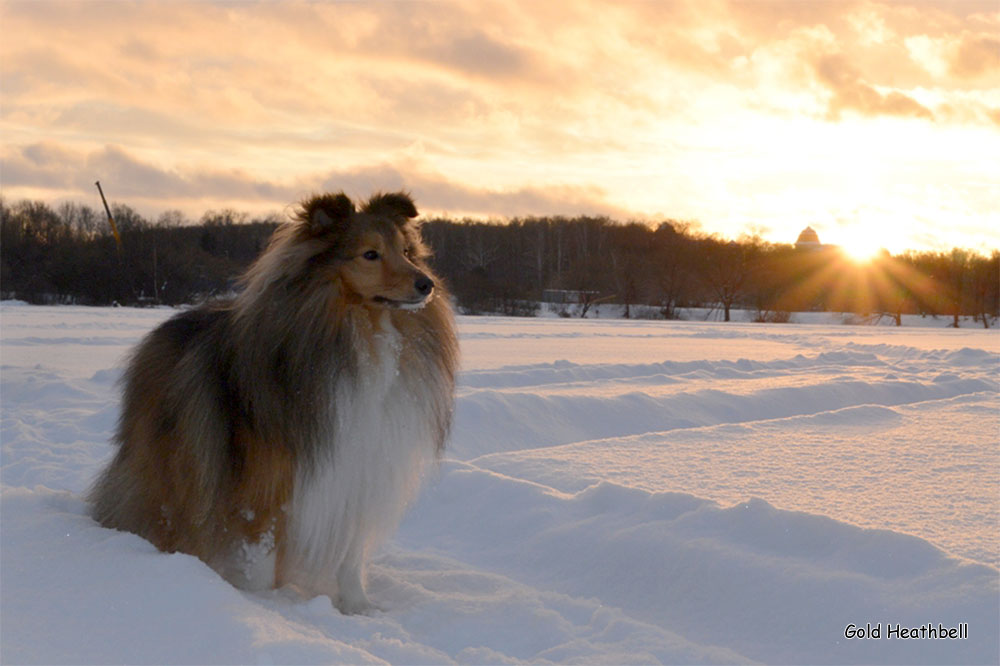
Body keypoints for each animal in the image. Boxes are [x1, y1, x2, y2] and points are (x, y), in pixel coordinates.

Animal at [88, 192, 458, 612]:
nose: (427, 285)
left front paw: (358, 608)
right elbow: (260, 561)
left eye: (407, 251)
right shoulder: (264, 490)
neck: (365, 335)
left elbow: (350, 557)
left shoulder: (357, 473)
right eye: (370, 254)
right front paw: (267, 608)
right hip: (180, 466)